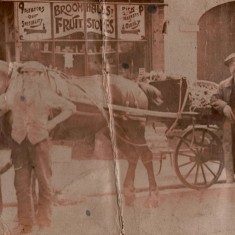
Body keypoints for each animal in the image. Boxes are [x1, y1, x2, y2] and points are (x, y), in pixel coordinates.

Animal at [0, 60, 163, 207]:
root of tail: (135, 85)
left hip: (135, 128)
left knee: (146, 155)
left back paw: (153, 197)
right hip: (115, 131)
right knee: (132, 155)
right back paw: (129, 194)